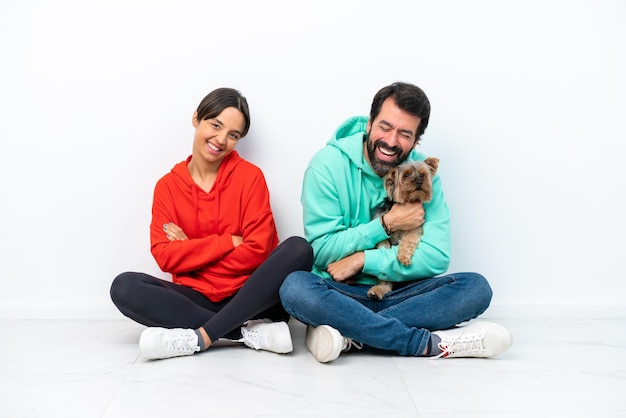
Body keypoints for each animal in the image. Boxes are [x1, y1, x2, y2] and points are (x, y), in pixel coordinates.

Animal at [366, 158, 438, 300]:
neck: (408, 201)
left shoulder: (415, 229)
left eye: (422, 175)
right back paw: (378, 290)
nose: (419, 182)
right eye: (406, 175)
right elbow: (383, 242)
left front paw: (403, 257)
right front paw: (385, 248)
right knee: (385, 281)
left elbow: (408, 241)